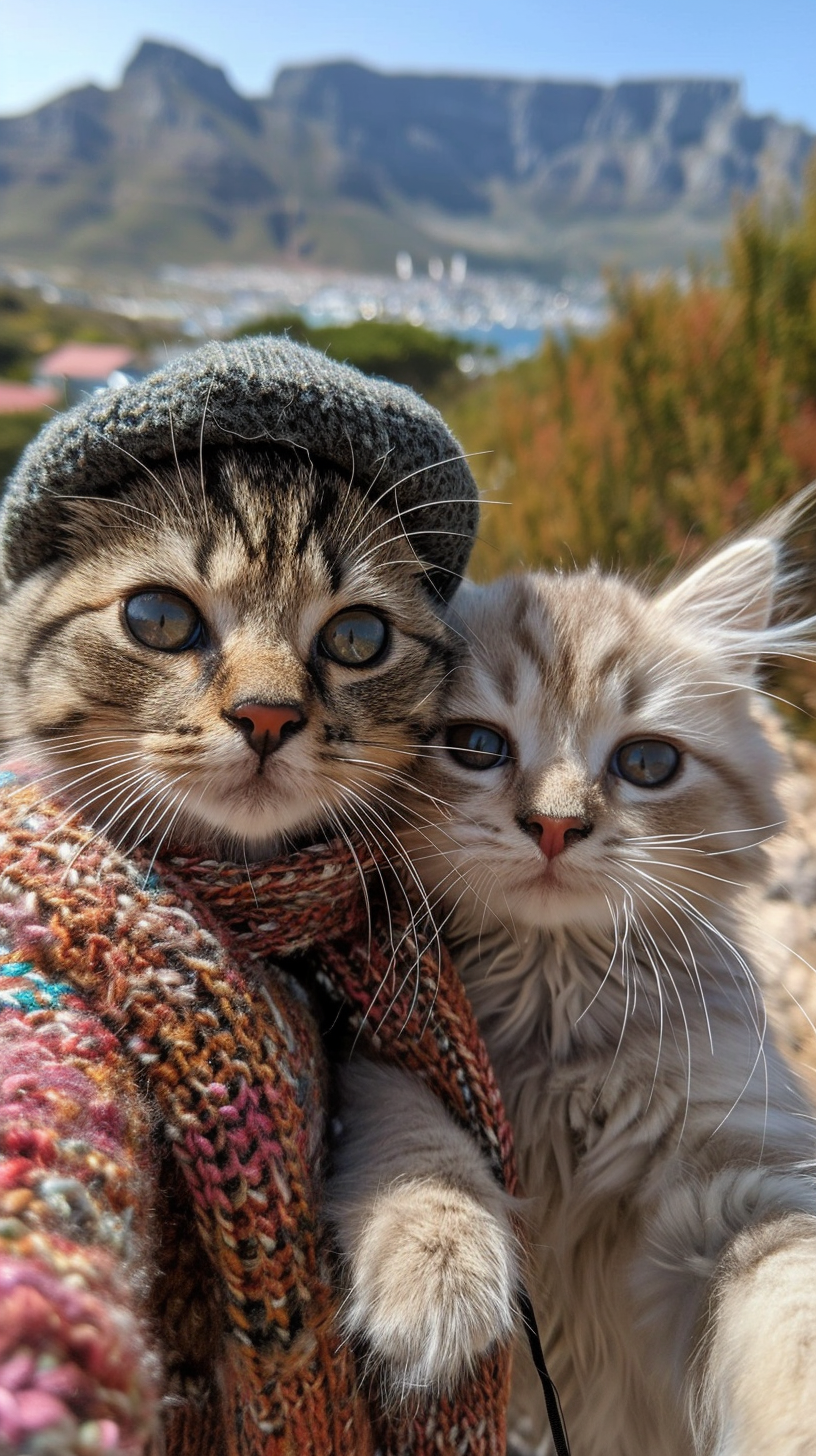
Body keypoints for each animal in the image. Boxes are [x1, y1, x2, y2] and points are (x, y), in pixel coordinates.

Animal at [384, 506, 816, 1450]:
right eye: (475, 745)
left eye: (647, 764)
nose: (555, 825)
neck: (552, 1004)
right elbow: (406, 1128)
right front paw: (432, 1279)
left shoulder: (743, 1179)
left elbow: (790, 1312)